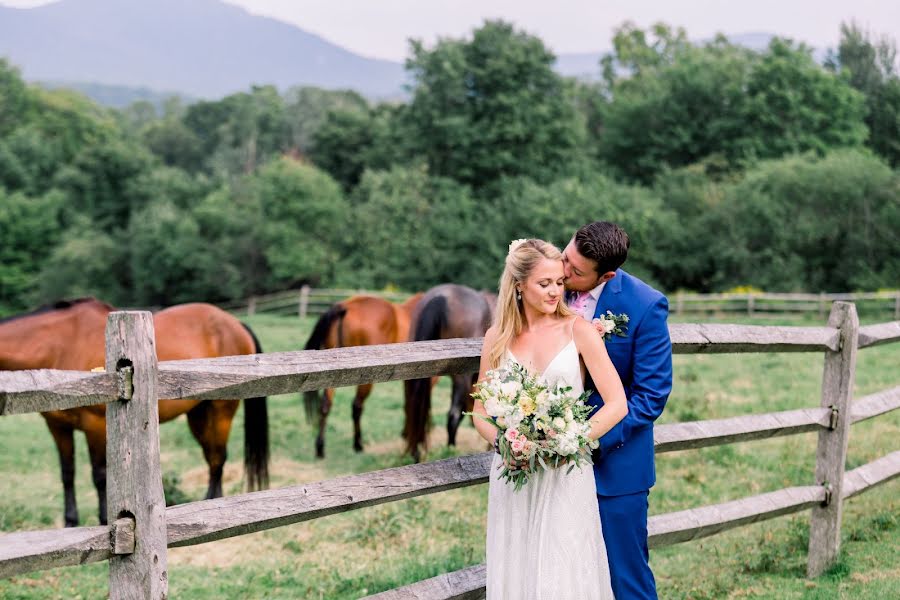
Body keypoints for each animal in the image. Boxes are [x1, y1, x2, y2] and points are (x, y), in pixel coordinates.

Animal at [0, 298, 270, 524]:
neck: (64, 344)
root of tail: (235, 323)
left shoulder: (95, 426)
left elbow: (100, 476)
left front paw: (105, 521)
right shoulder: (58, 427)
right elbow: (67, 474)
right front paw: (70, 523)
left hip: (221, 411)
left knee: (218, 457)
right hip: (199, 415)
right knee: (213, 456)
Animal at [304, 292, 424, 458]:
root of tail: (346, 306)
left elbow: (408, 403)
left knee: (325, 406)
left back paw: (320, 447)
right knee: (357, 406)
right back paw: (358, 444)